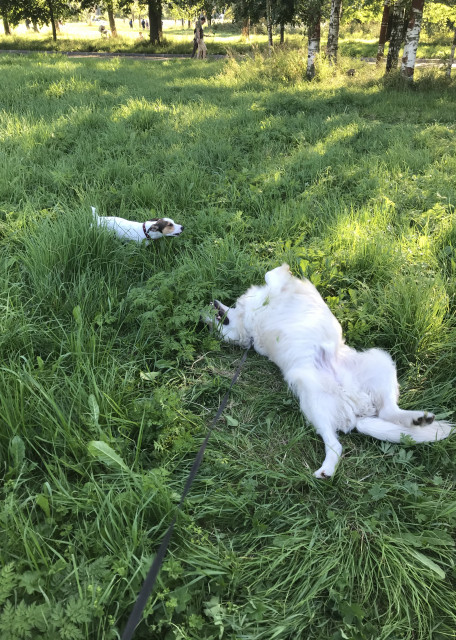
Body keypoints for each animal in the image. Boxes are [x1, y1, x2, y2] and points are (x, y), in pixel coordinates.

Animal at [207, 264, 453, 478]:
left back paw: (418, 419)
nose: (209, 307)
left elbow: (272, 275)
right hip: (314, 403)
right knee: (339, 442)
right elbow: (273, 275)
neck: (250, 328)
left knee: (389, 411)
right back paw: (327, 470)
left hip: (379, 360)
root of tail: (357, 409)